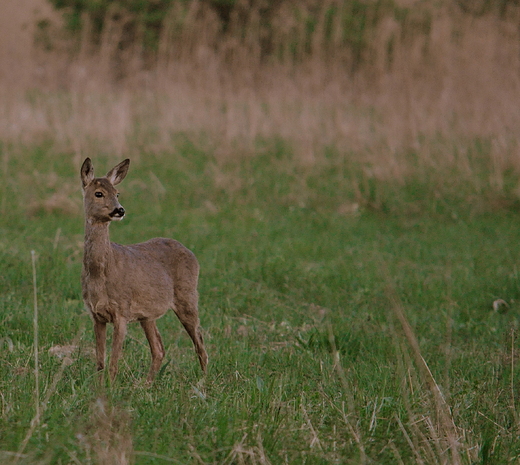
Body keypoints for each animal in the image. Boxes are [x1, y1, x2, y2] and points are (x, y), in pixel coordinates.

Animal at [80, 158, 208, 382]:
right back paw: (146, 384)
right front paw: (99, 386)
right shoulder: (96, 315)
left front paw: (111, 386)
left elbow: (113, 362)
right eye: (98, 193)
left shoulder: (121, 311)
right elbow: (100, 362)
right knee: (158, 348)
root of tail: (190, 252)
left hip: (188, 297)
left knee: (199, 342)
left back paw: (203, 380)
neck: (100, 273)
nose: (120, 210)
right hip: (148, 315)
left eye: (117, 193)